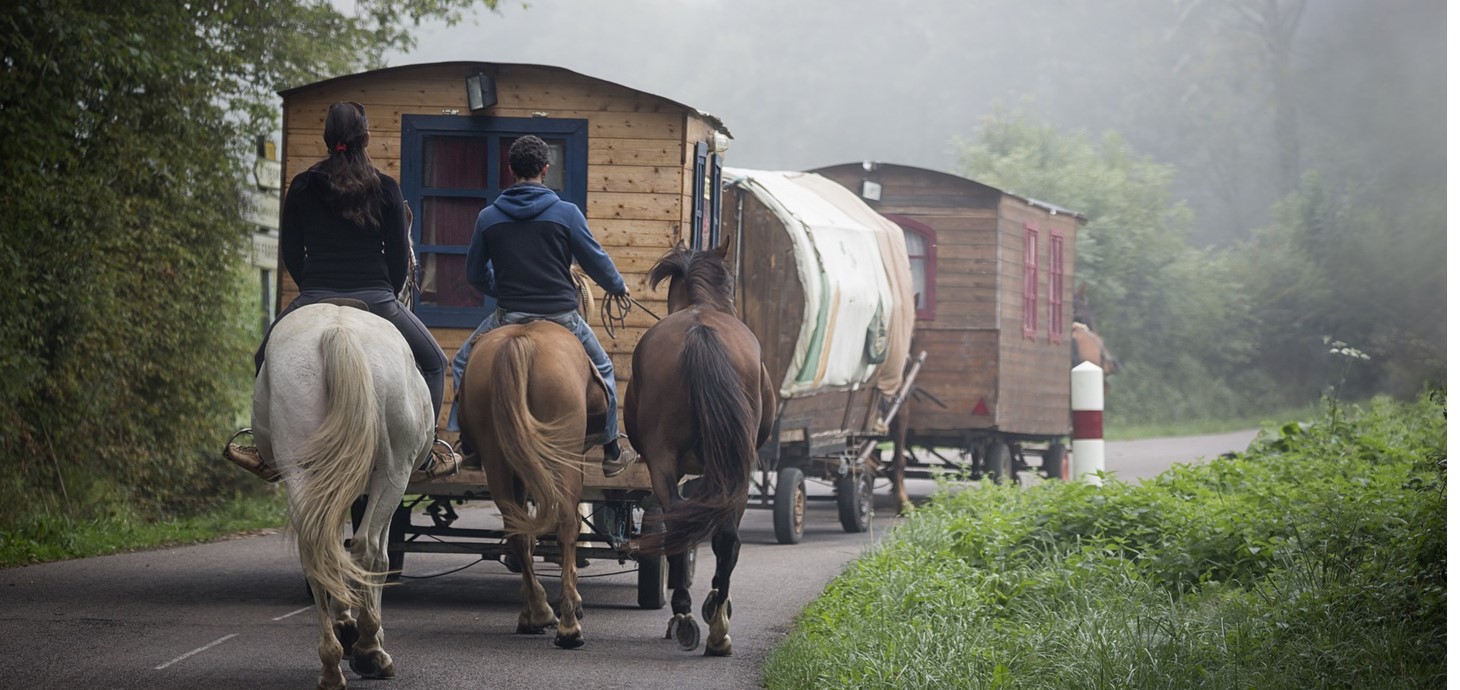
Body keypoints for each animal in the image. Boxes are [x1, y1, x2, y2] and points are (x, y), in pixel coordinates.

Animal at [254, 300, 432, 688]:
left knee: (315, 550)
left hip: (302, 471)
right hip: (393, 474)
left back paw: (331, 662)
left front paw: (345, 624)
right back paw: (368, 651)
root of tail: (338, 330)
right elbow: (376, 556)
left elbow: (335, 547)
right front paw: (365, 637)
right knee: (368, 551)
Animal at [461, 319, 610, 647]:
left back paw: (539, 613)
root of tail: (520, 342)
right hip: (562, 455)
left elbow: (527, 536)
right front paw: (575, 603)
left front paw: (529, 612)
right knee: (566, 523)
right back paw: (568, 626)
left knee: (517, 529)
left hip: (498, 457)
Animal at [621, 242, 776, 656]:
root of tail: (699, 331)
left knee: (681, 523)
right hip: (733, 466)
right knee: (723, 537)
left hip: (667, 462)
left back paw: (689, 615)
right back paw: (715, 623)